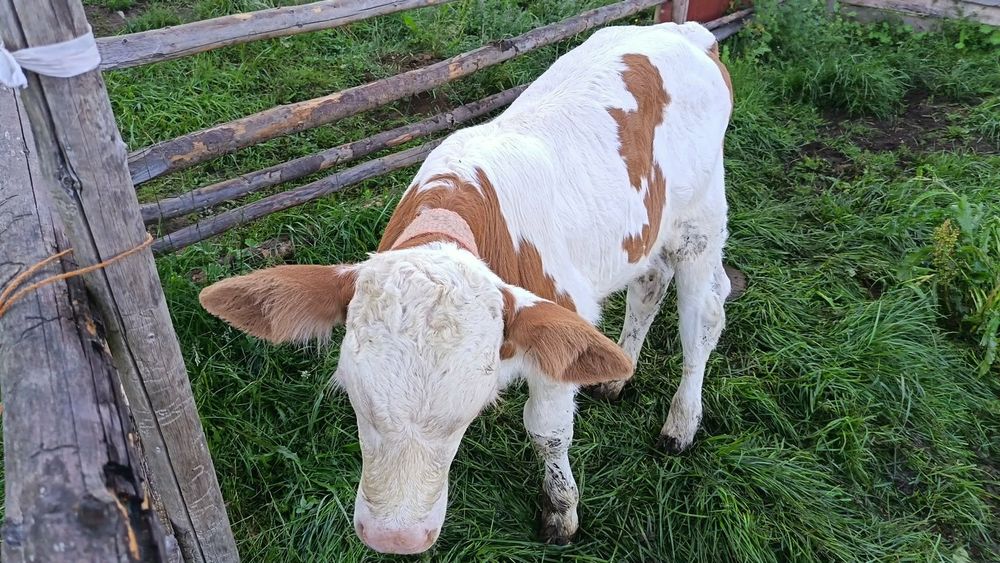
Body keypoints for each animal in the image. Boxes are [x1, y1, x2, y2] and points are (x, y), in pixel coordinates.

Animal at [199, 20, 733, 555]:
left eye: (467, 415)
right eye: (353, 395)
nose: (396, 537)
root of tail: (684, 31)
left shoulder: (558, 332)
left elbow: (548, 433)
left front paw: (561, 512)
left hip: (701, 221)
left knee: (705, 315)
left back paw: (681, 423)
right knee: (649, 285)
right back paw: (616, 375)